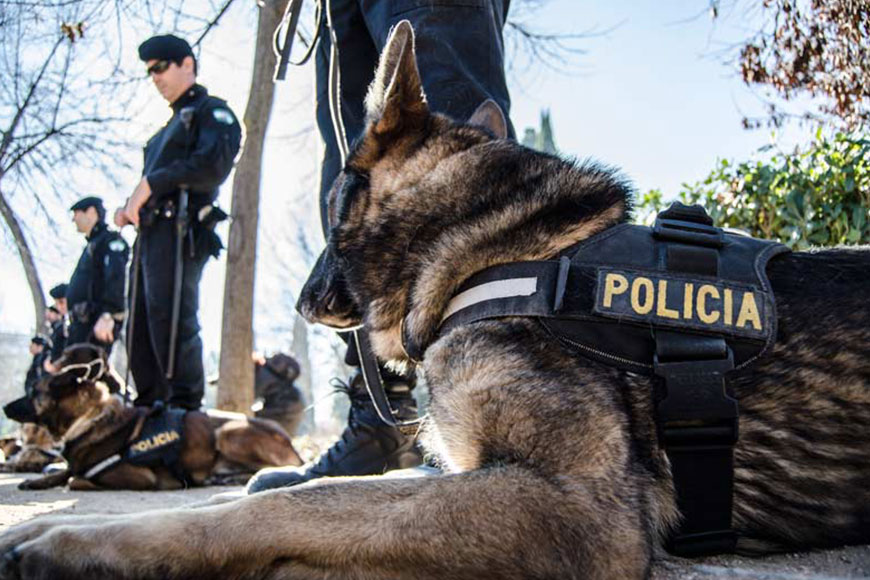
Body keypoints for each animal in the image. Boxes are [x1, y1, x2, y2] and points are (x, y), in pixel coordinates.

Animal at [3, 346, 302, 492]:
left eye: (33, 391)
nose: (4, 407)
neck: (89, 418)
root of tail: (292, 445)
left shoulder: (140, 476)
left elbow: (75, 479)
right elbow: (67, 471)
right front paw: (35, 481)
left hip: (229, 432)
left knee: (264, 468)